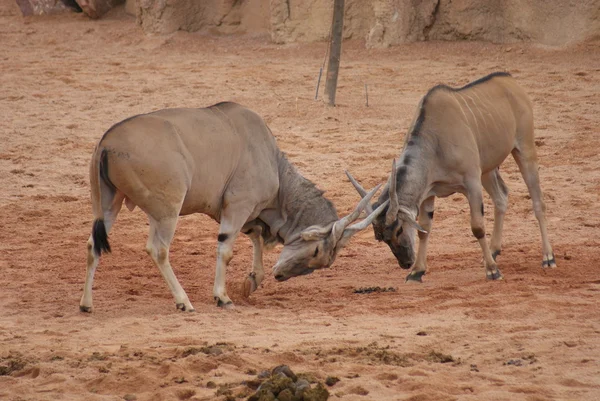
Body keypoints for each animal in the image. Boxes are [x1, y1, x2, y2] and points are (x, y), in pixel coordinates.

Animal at [81, 101, 390, 310]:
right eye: (316, 251)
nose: (280, 276)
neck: (274, 164)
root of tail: (107, 142)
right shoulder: (237, 208)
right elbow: (227, 249)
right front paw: (223, 296)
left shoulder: (247, 215)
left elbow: (255, 238)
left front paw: (251, 281)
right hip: (167, 210)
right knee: (158, 249)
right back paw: (184, 301)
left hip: (109, 204)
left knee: (92, 245)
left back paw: (86, 303)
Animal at [346, 73, 556, 282]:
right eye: (381, 237)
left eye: (398, 229)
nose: (405, 263)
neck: (434, 142)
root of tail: (510, 80)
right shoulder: (428, 192)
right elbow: (424, 229)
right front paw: (417, 272)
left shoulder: (472, 184)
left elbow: (478, 227)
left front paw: (492, 271)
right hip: (487, 170)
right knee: (501, 197)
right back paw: (493, 251)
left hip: (524, 150)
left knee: (538, 202)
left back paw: (548, 257)